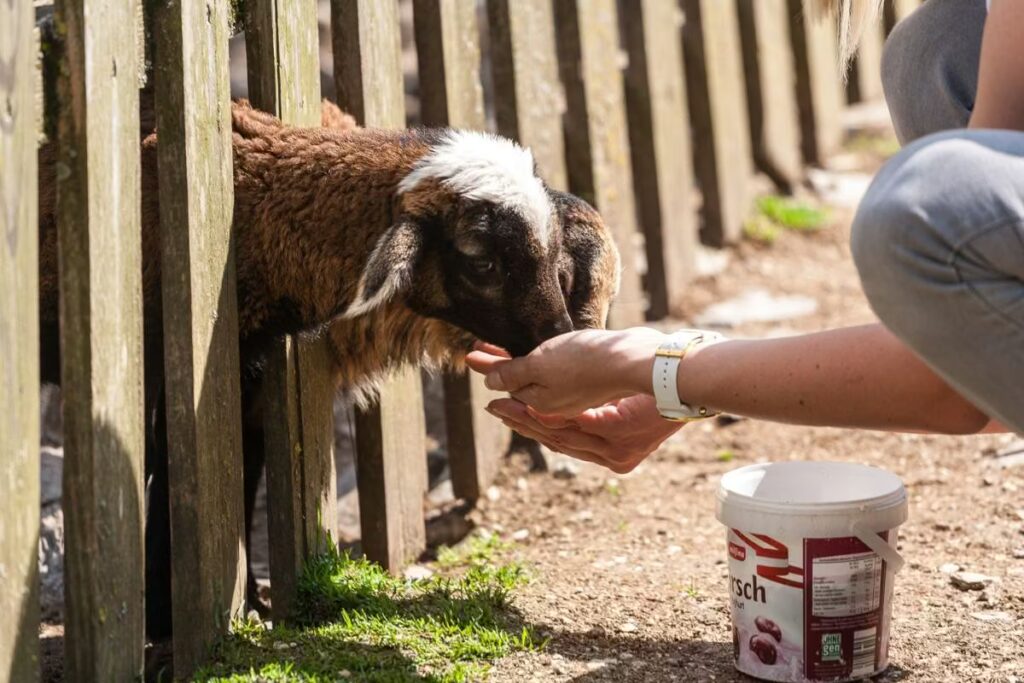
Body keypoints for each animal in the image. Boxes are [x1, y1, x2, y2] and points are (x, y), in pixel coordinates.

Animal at [36, 97, 618, 643]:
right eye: (483, 263)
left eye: (555, 254)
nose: (557, 339)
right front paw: (164, 620)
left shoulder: (249, 386)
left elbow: (244, 473)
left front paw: (249, 605)